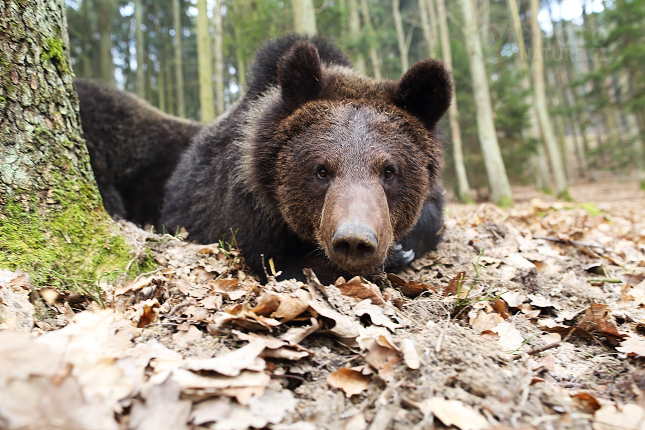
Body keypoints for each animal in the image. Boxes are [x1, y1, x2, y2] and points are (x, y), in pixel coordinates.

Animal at [162, 36, 448, 286]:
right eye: (321, 170)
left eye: (389, 171)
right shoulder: (251, 213)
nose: (355, 240)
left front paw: (402, 249)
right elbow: (279, 263)